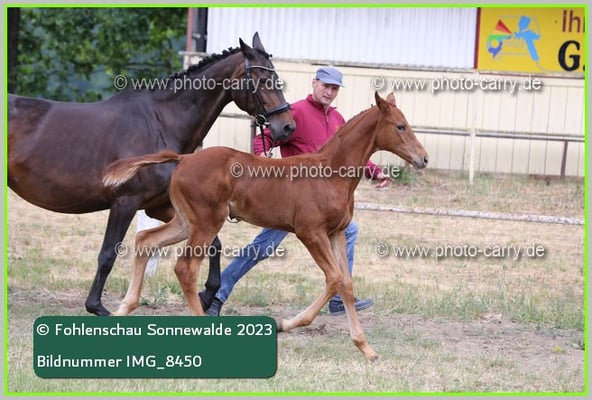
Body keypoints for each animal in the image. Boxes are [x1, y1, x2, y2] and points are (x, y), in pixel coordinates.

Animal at [7, 33, 295, 316]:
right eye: (263, 80)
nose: (287, 127)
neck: (160, 122)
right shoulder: (125, 202)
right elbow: (108, 254)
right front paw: (97, 307)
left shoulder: (161, 207)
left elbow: (214, 244)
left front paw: (207, 294)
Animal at [102, 91, 428, 360]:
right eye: (400, 126)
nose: (423, 158)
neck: (330, 173)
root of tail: (183, 158)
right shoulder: (311, 233)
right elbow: (334, 278)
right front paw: (285, 324)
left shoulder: (335, 233)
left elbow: (346, 284)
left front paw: (366, 348)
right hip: (206, 223)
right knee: (185, 268)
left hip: (185, 221)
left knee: (146, 240)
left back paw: (124, 309)